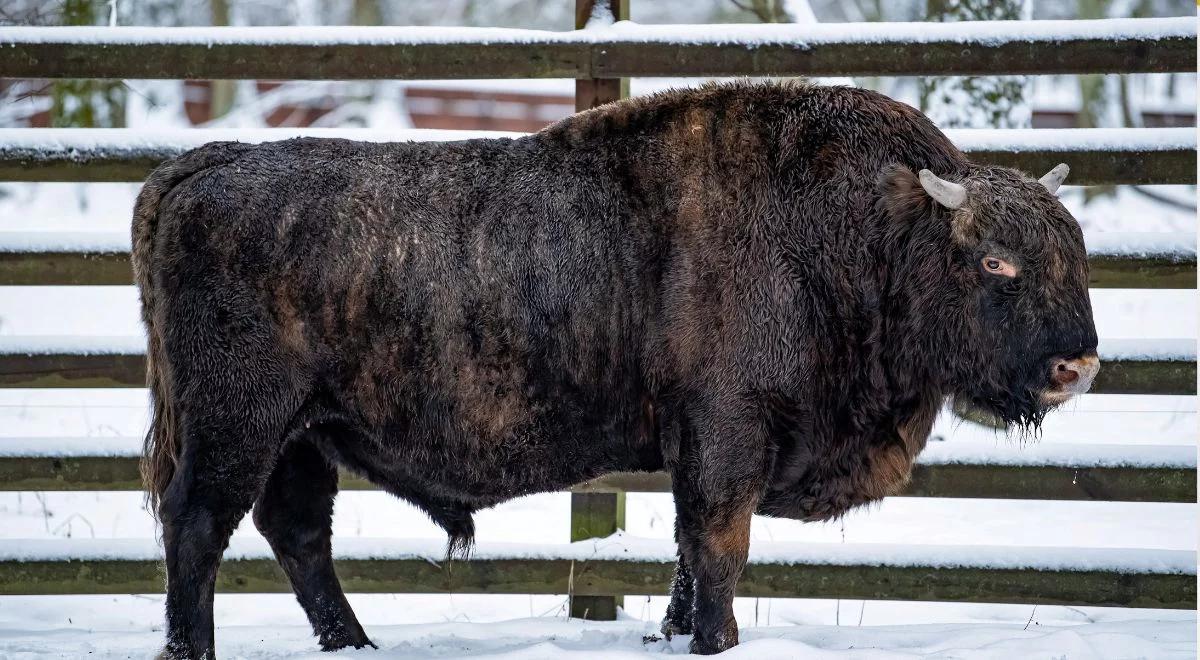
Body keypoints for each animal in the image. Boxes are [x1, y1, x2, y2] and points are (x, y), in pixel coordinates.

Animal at [131, 81, 1099, 657]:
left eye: (1074, 252)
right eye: (996, 263)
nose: (1077, 363)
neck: (863, 232)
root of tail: (202, 167)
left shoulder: (693, 451)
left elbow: (686, 553)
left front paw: (673, 635)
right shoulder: (724, 434)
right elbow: (718, 549)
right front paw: (714, 639)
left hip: (302, 436)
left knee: (297, 535)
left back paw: (356, 645)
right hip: (239, 426)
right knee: (198, 529)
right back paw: (196, 650)